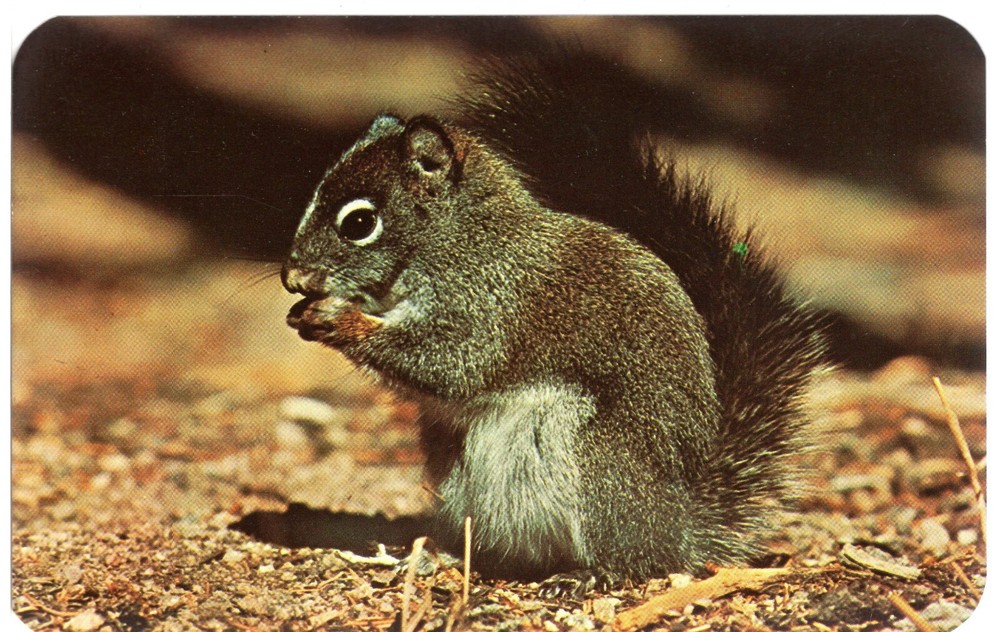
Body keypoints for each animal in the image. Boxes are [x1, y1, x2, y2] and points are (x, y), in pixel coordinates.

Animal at [281, 51, 826, 591]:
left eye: (359, 222)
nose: (291, 277)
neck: (457, 240)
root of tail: (679, 528)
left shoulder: (490, 304)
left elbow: (454, 363)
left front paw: (340, 320)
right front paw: (309, 314)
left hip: (600, 465)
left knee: (637, 561)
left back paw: (589, 574)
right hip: (456, 468)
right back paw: (443, 556)